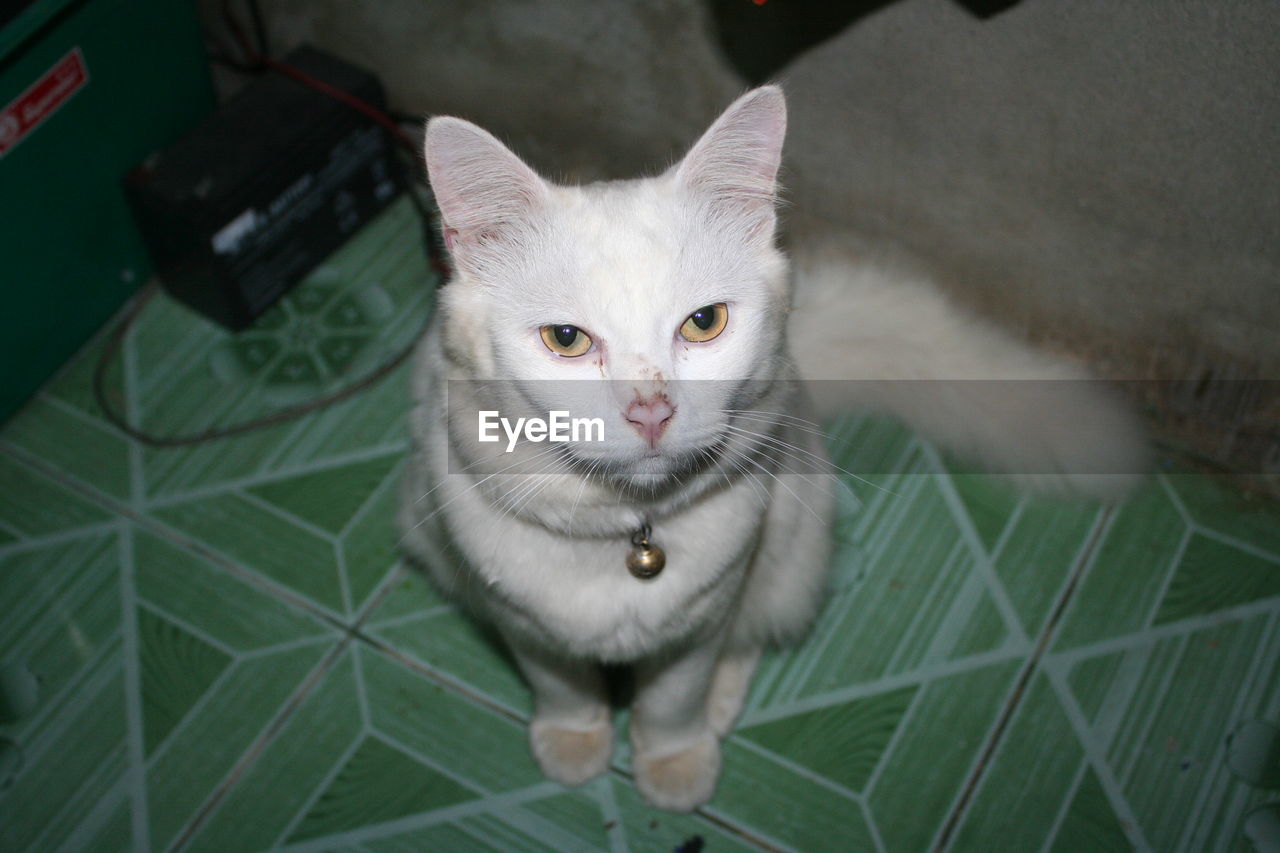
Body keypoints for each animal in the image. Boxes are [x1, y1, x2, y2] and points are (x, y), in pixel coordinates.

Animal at [394, 86, 1146, 809]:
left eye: (704, 323)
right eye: (566, 340)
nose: (651, 411)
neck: (630, 533)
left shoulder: (703, 622)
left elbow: (671, 704)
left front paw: (673, 765)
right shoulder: (521, 622)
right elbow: (563, 689)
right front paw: (575, 744)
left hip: (791, 542)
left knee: (751, 638)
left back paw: (721, 711)